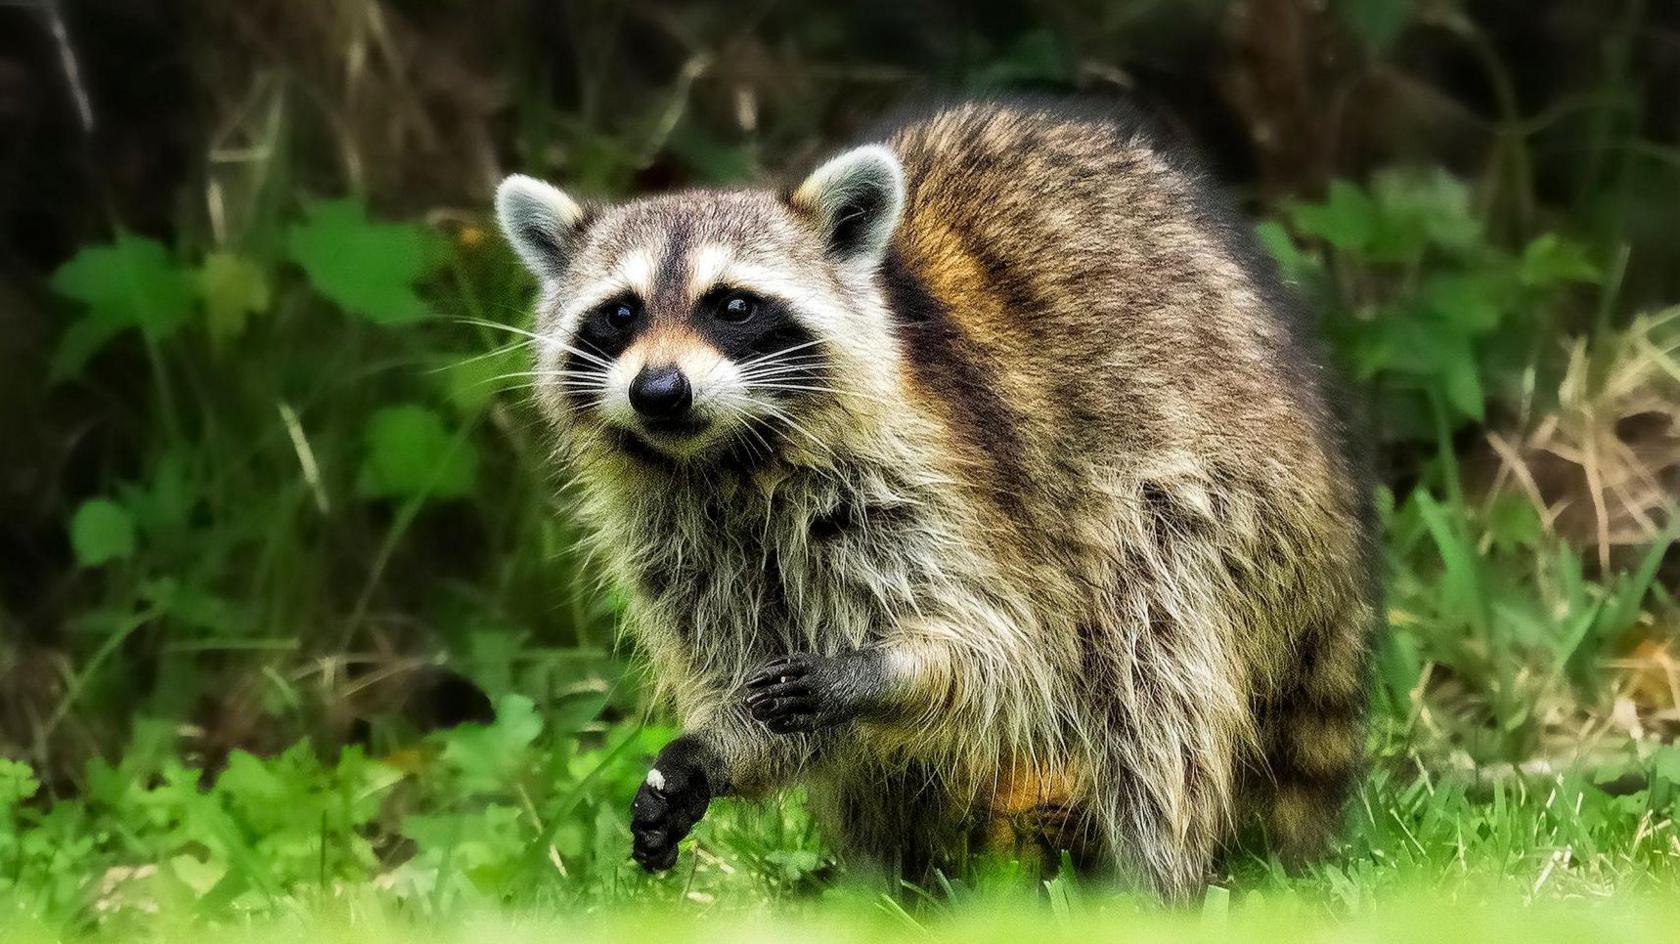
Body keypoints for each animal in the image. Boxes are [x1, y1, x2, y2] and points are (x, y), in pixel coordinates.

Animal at [495, 98, 1377, 898]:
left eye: (733, 305)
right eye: (620, 314)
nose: (659, 392)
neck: (727, 462)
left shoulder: (954, 481)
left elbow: (1013, 656)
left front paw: (886, 671)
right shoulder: (679, 541)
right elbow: (765, 698)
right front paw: (713, 749)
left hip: (1223, 496)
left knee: (1154, 659)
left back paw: (1151, 886)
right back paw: (887, 885)